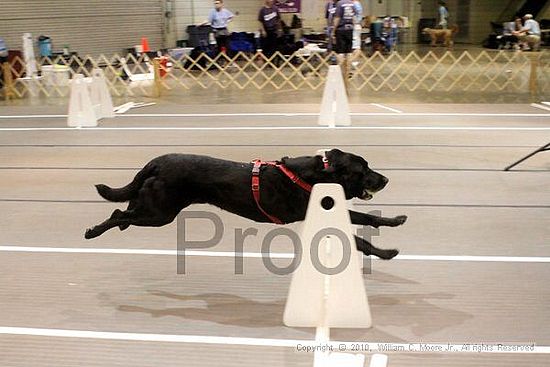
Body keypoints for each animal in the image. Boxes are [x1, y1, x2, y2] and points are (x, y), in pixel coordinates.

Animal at [84, 149, 408, 258]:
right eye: (363, 170)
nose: (386, 179)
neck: (319, 174)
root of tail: (156, 162)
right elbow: (360, 239)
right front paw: (387, 253)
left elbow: (368, 218)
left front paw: (394, 221)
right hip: (160, 213)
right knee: (119, 213)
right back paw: (93, 231)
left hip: (153, 207)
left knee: (124, 210)